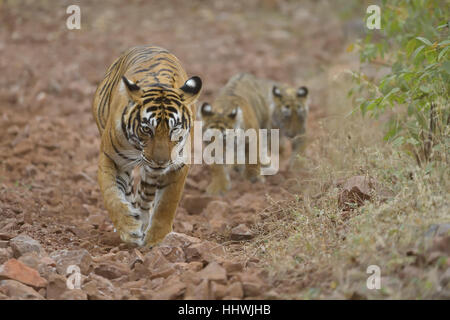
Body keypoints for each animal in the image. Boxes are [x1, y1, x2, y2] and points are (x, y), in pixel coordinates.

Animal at [92, 45, 201, 246]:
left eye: (175, 129)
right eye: (146, 129)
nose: (160, 161)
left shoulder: (179, 165)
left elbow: (167, 204)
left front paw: (157, 240)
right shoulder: (111, 159)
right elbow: (112, 195)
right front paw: (129, 228)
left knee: (145, 196)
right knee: (128, 192)